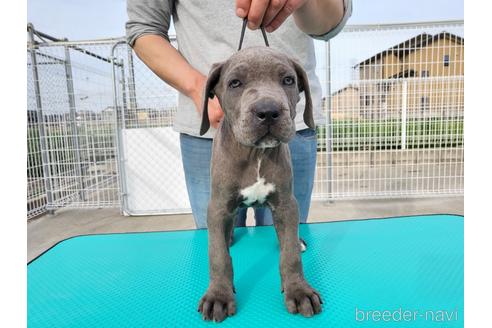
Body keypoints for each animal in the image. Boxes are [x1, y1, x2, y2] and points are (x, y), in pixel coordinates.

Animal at [198, 47, 320, 322]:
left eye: (288, 80)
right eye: (235, 83)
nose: (268, 111)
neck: (255, 154)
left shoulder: (286, 204)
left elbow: (289, 255)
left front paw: (299, 290)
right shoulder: (218, 205)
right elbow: (218, 256)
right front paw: (218, 295)